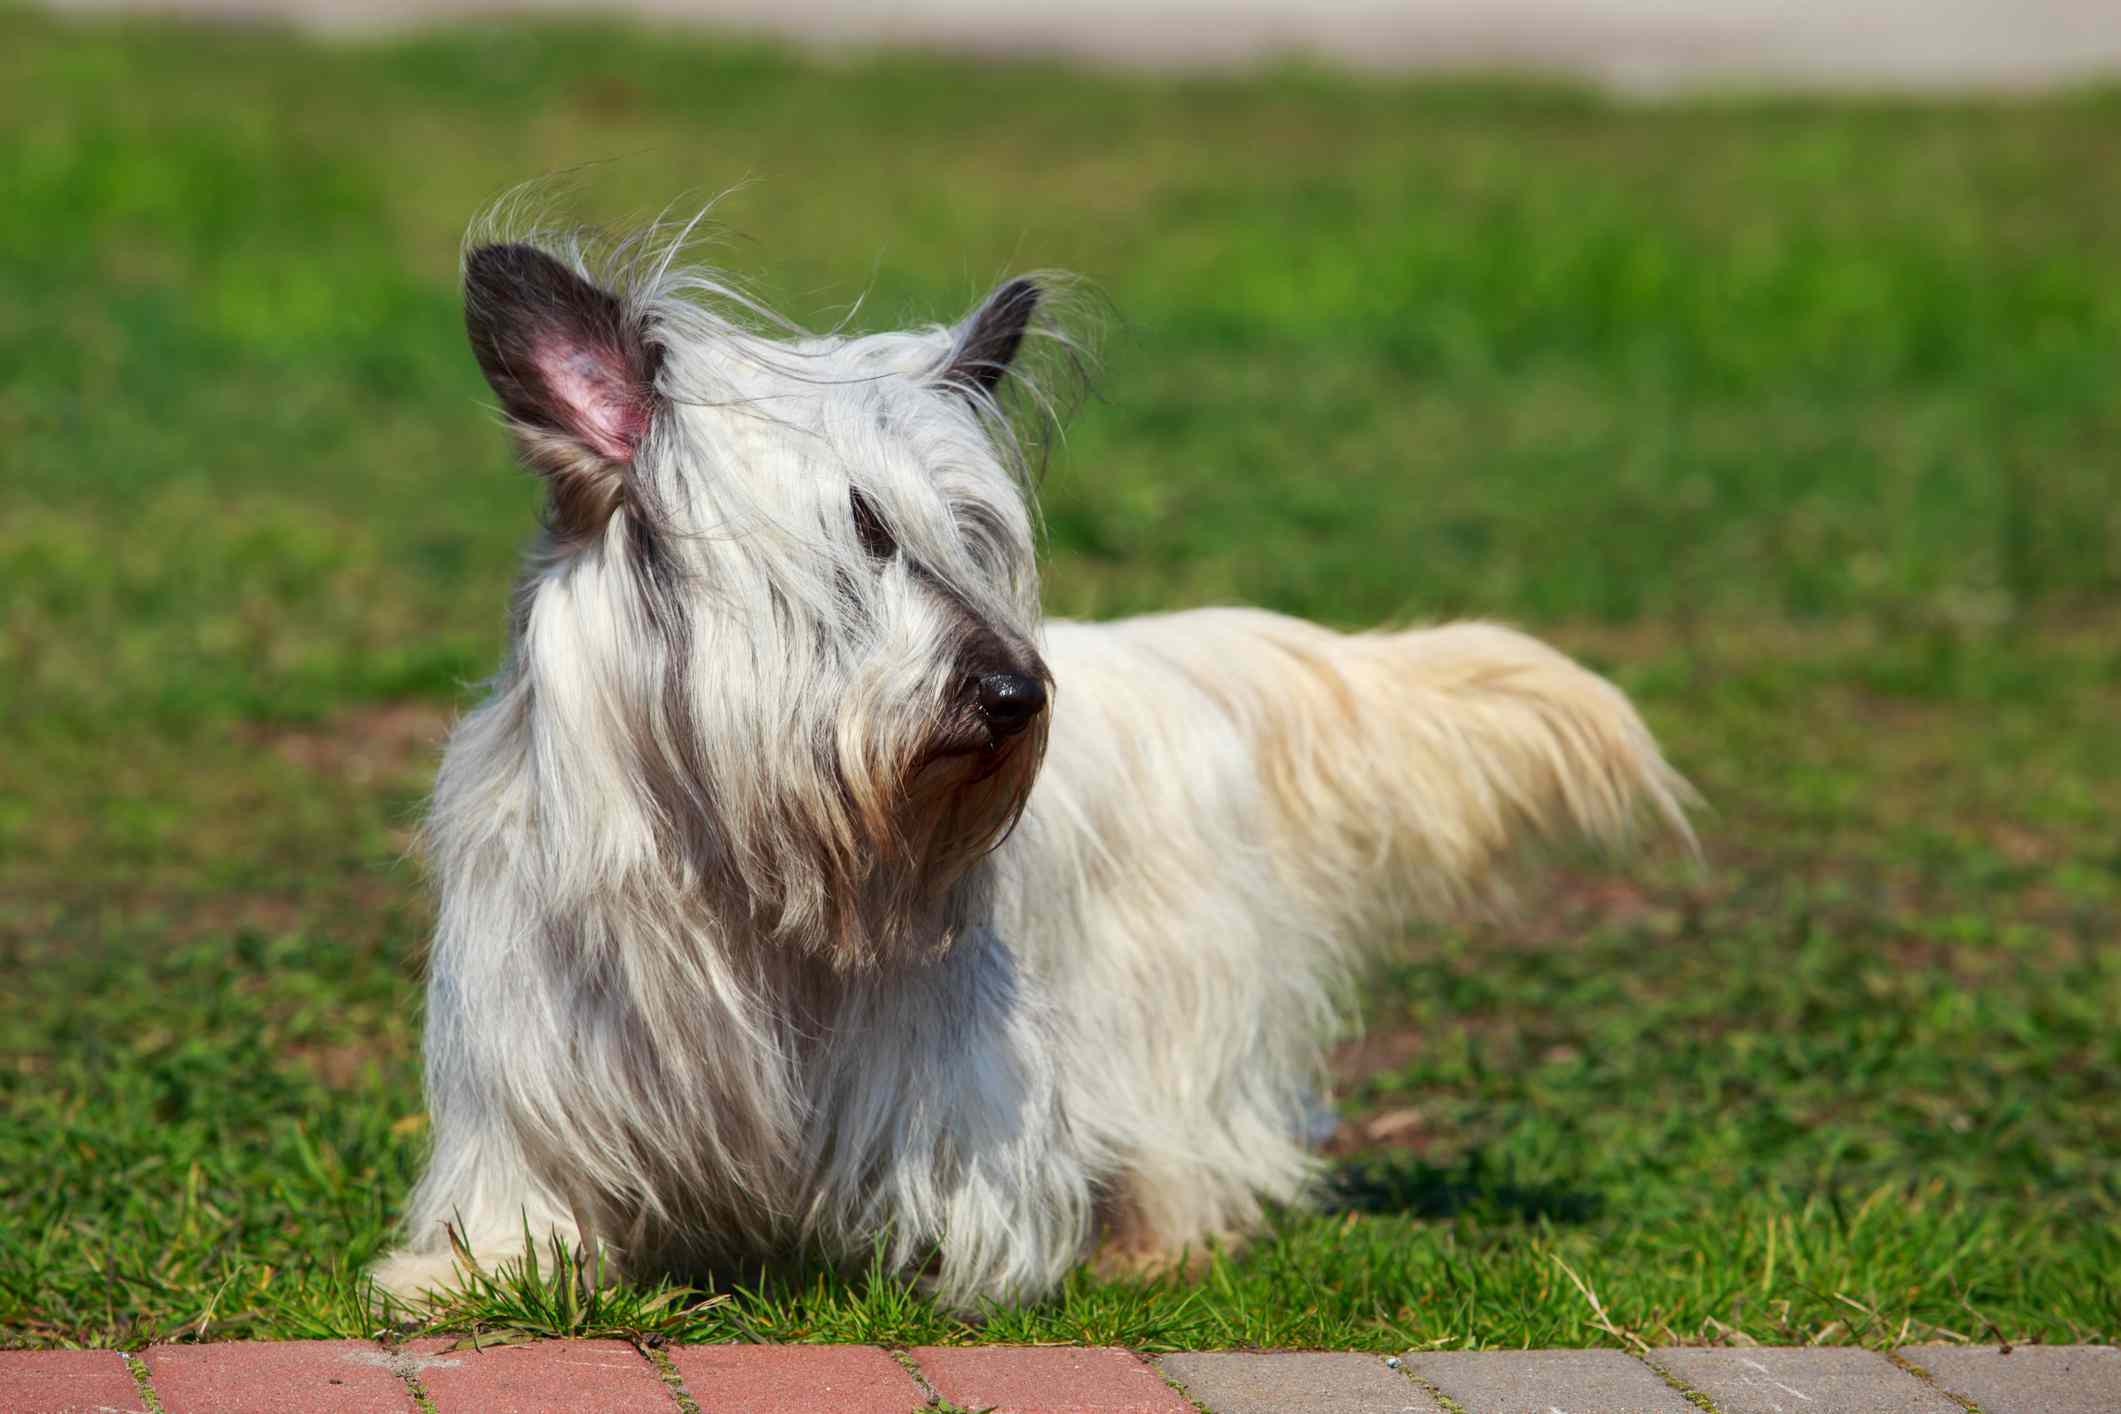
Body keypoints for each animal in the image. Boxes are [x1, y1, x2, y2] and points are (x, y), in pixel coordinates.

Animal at [369, 221, 1688, 1314]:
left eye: (974, 536)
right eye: (864, 534)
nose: (1016, 693)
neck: (740, 868)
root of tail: (1170, 659)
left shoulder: (948, 1064)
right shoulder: (539, 1045)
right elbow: (528, 1184)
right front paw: (475, 1272)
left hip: (1169, 998)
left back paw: (1154, 1240)